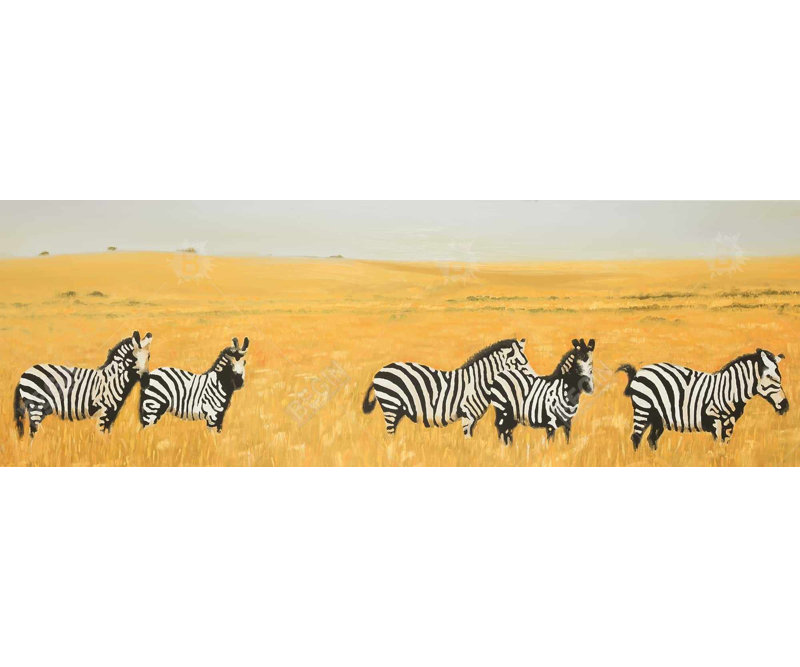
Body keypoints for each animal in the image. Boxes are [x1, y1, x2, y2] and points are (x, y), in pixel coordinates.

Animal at [13, 331, 153, 439]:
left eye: (148, 357)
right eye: (132, 359)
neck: (113, 380)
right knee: (32, 433)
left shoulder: (112, 415)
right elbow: (100, 436)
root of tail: (24, 374)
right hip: (36, 406)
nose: (146, 381)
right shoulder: (103, 413)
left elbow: (108, 436)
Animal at [362, 338, 530, 437]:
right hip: (390, 405)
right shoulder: (468, 415)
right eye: (519, 364)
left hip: (397, 410)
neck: (478, 383)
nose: (534, 379)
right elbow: (468, 439)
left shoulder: (472, 418)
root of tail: (378, 372)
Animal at [617, 349, 789, 450]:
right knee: (636, 437)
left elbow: (724, 447)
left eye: (780, 377)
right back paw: (639, 460)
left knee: (651, 439)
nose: (785, 406)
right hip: (643, 409)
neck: (730, 390)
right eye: (770, 377)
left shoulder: (730, 423)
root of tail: (640, 372)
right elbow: (717, 446)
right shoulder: (716, 421)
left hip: (657, 417)